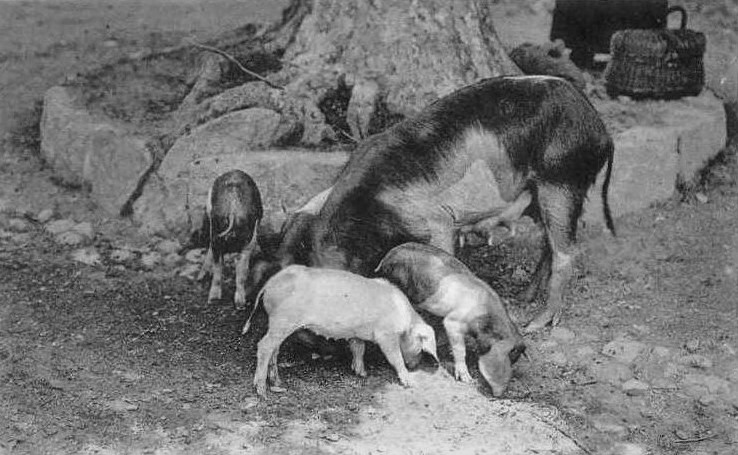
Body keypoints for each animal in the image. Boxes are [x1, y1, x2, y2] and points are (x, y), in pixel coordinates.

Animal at [241, 265, 438, 397]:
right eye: (421, 346)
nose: (415, 366)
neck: (403, 318)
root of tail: (269, 284)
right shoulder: (386, 335)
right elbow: (395, 357)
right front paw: (410, 382)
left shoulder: (356, 333)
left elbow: (359, 349)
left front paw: (361, 373)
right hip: (283, 320)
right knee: (264, 346)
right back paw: (261, 391)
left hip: (278, 323)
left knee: (274, 350)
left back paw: (277, 382)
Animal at [375, 242, 525, 397]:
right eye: (509, 356)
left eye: (514, 360)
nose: (499, 394)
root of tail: (385, 258)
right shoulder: (453, 322)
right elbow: (460, 349)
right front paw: (467, 380)